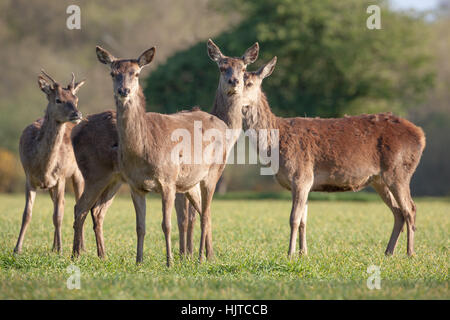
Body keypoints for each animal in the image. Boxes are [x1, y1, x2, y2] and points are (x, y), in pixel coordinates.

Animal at [14, 70, 86, 255]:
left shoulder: (60, 177)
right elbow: (27, 214)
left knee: (79, 205)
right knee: (62, 204)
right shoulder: (29, 177)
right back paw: (53, 246)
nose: (77, 114)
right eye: (58, 99)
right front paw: (17, 248)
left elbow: (58, 216)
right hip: (51, 186)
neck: (43, 167)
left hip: (79, 174)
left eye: (76, 99)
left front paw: (61, 250)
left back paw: (81, 247)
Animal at [239, 57, 426, 258]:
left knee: (410, 209)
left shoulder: (301, 175)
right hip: (379, 180)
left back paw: (410, 253)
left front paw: (290, 253)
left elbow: (294, 218)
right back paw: (389, 252)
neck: (274, 145)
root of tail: (421, 135)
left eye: (249, 83)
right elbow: (304, 219)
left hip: (398, 170)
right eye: (231, 80)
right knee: (398, 212)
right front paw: (303, 253)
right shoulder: (305, 183)